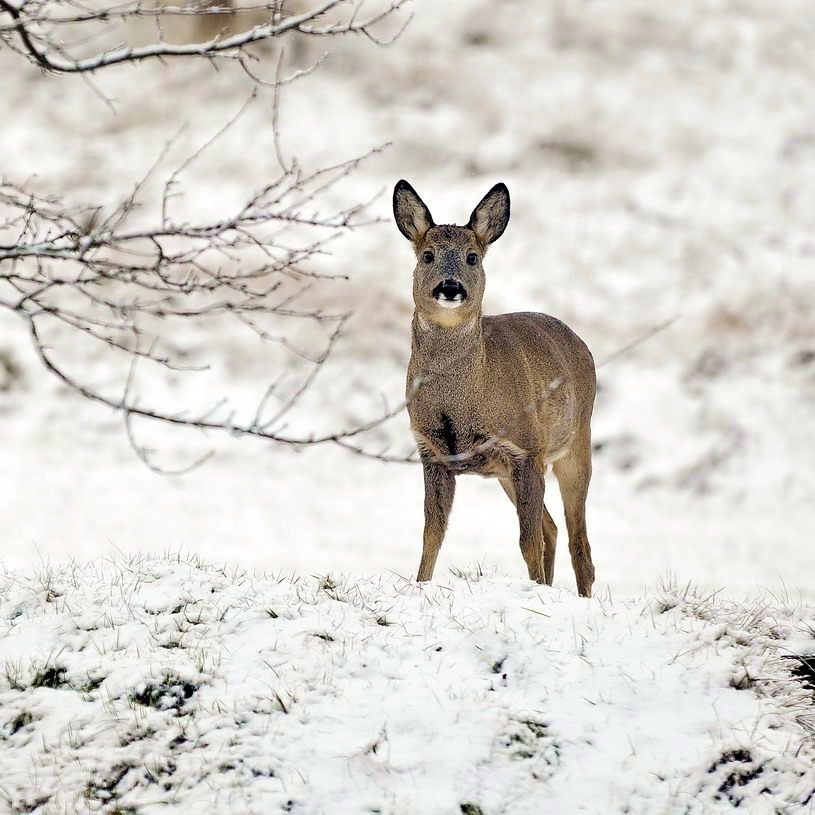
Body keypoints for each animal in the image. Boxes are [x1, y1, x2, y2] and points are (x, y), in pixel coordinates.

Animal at [393, 180, 596, 597]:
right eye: (427, 255)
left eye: (472, 257)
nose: (450, 287)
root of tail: (582, 344)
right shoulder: (431, 451)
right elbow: (431, 533)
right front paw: (420, 585)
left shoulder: (526, 450)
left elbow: (526, 540)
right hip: (507, 473)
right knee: (552, 528)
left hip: (575, 444)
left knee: (577, 538)